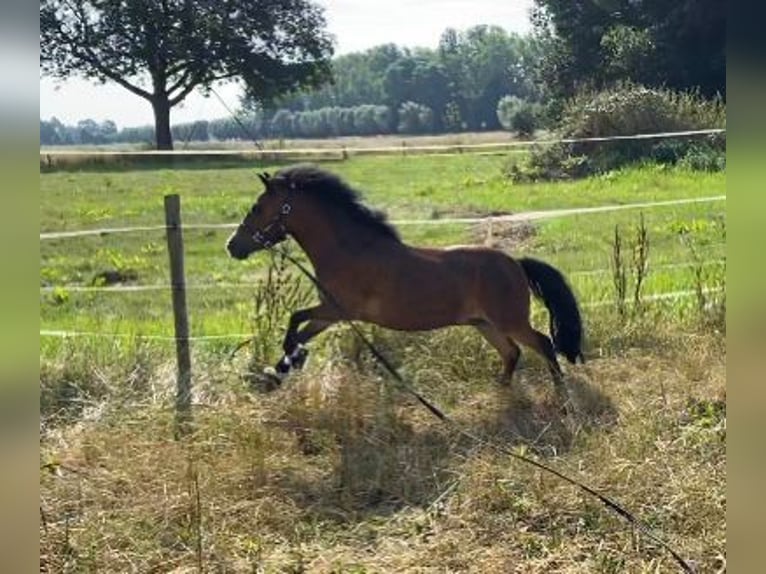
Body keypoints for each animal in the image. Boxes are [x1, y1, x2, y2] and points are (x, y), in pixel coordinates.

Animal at [228, 165, 588, 388]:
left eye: (257, 207)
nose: (232, 246)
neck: (349, 250)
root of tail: (515, 262)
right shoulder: (331, 313)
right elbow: (300, 328)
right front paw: (282, 367)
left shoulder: (339, 310)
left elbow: (294, 320)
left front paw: (289, 361)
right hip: (483, 323)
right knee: (511, 352)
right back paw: (502, 391)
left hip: (509, 320)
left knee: (542, 344)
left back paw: (561, 394)